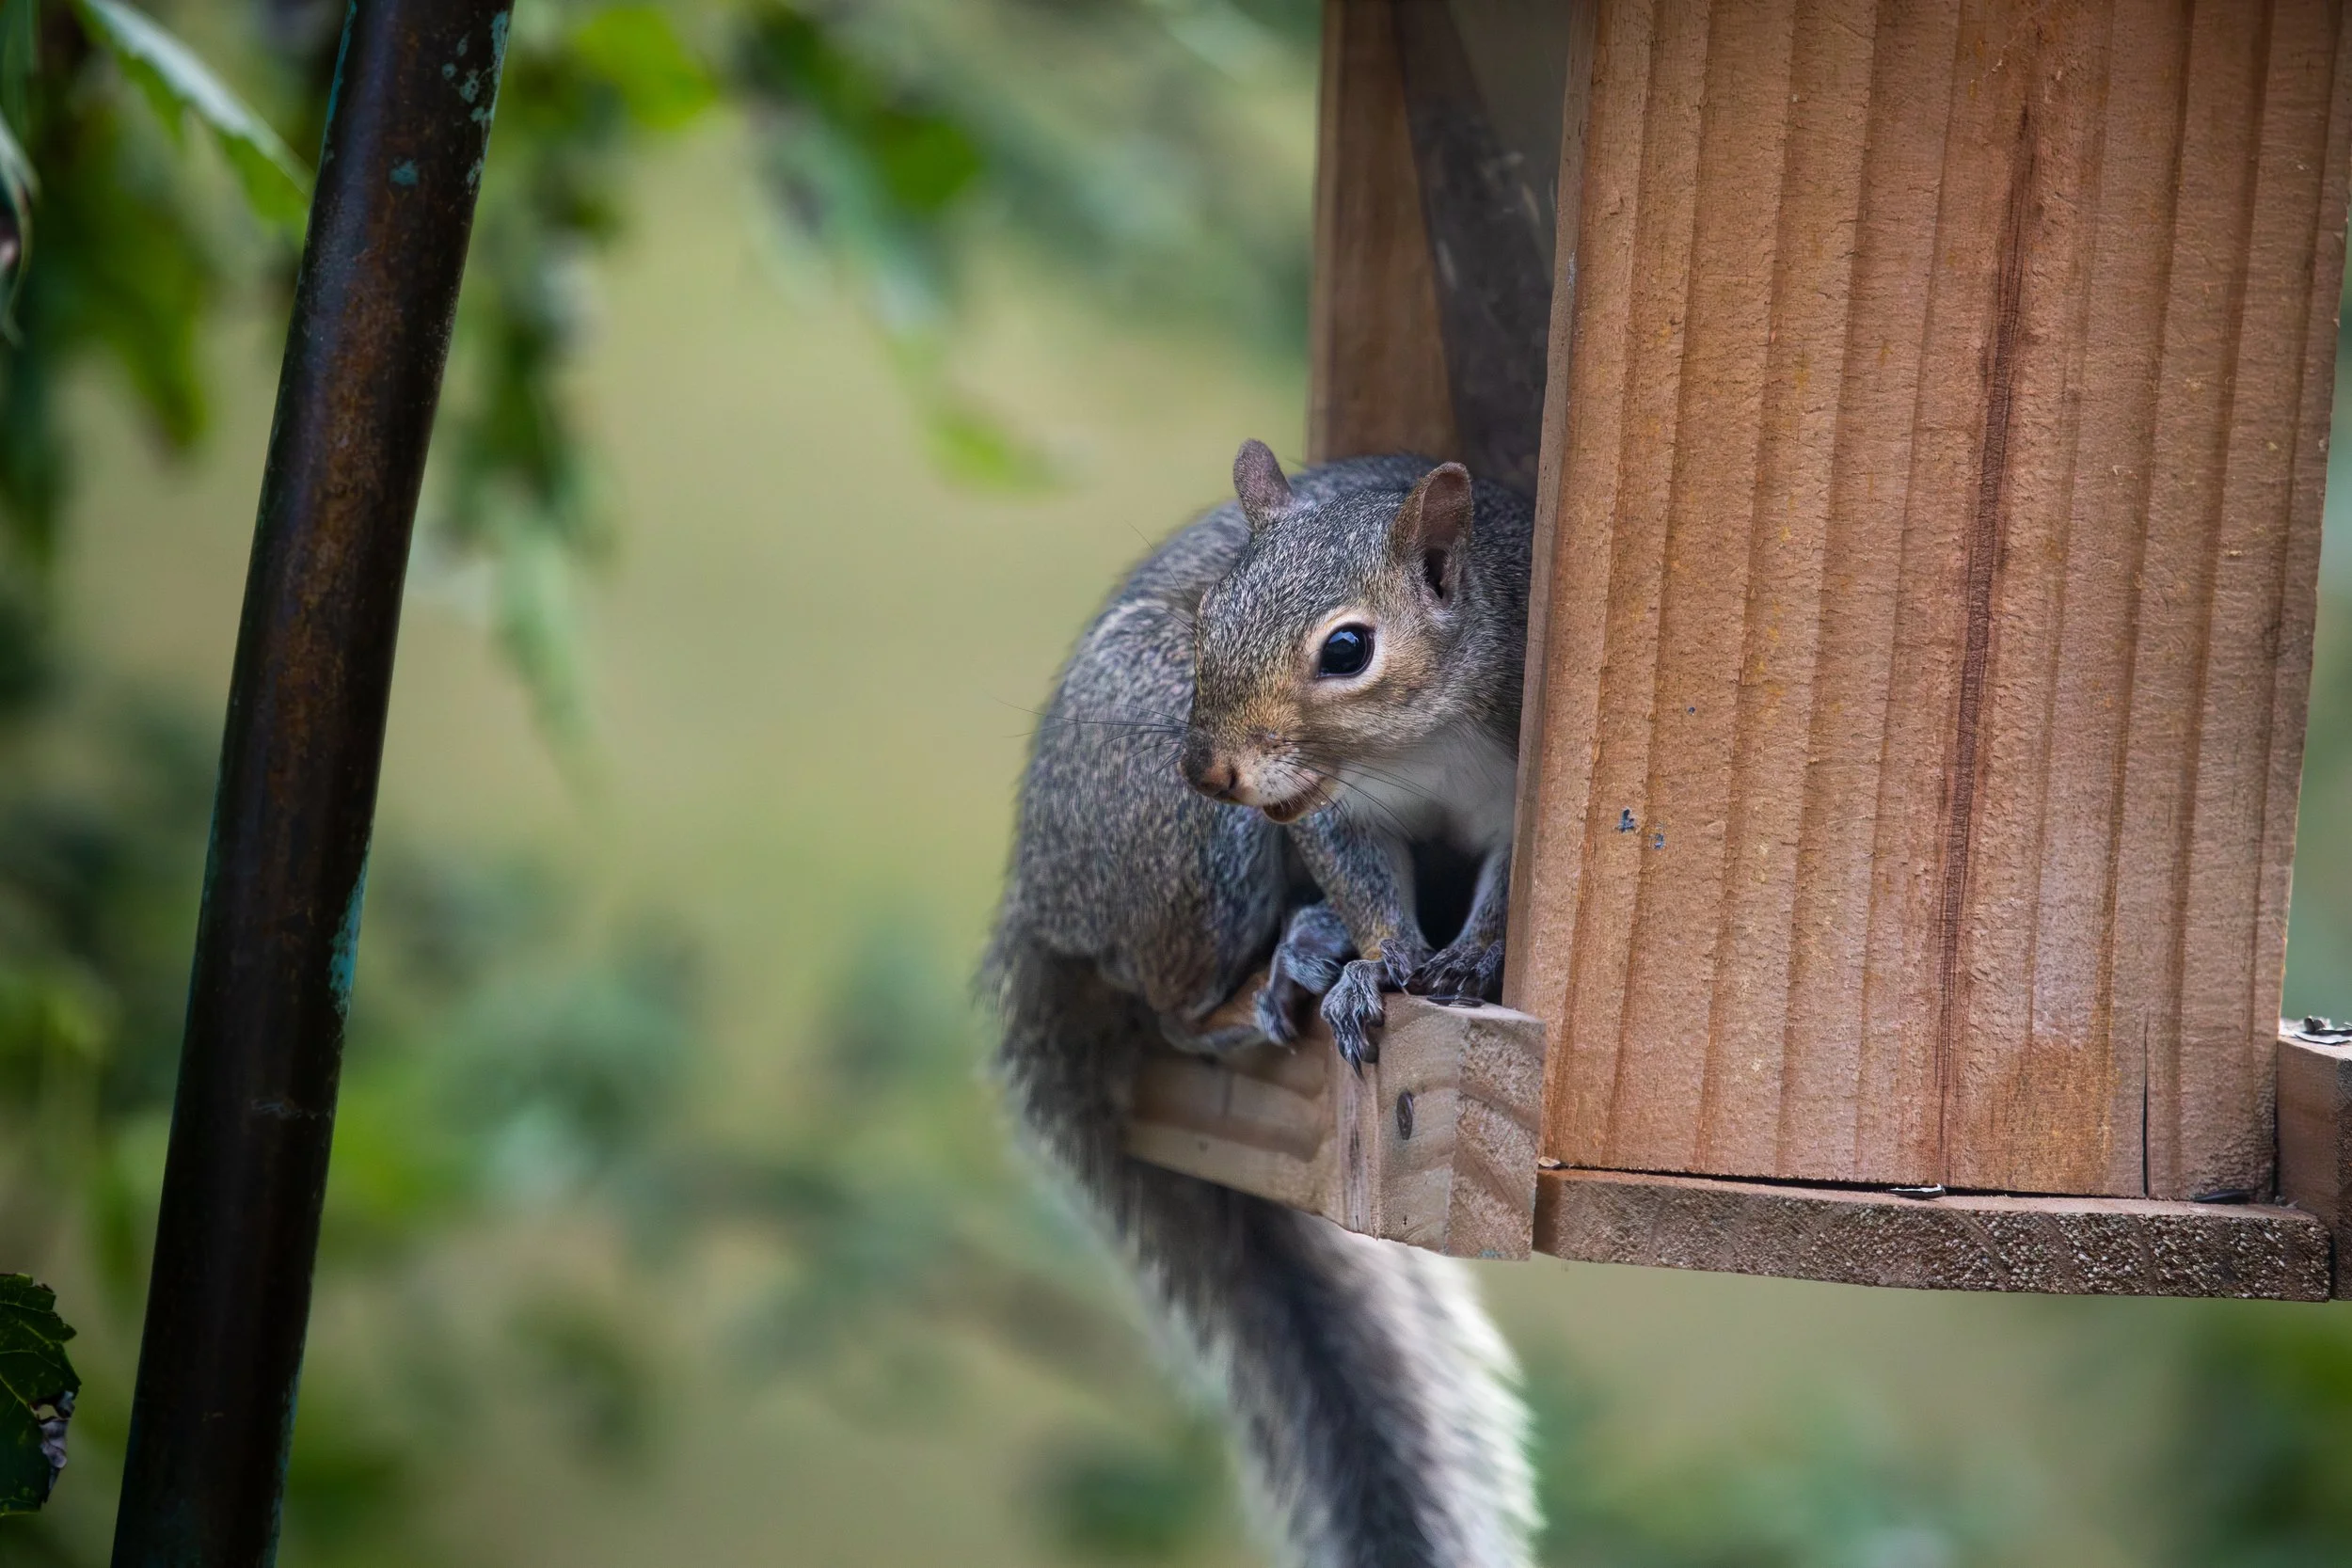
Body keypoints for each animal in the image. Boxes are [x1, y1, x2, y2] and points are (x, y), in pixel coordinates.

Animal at [985, 439, 1537, 1568]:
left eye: (1348, 648)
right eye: (1213, 614)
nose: (1206, 765)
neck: (1418, 745)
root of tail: (1044, 897)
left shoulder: (1510, 794)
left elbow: (1502, 892)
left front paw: (1465, 963)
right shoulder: (1327, 810)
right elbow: (1364, 883)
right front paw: (1382, 963)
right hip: (1185, 848)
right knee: (1170, 1010)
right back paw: (1286, 970)